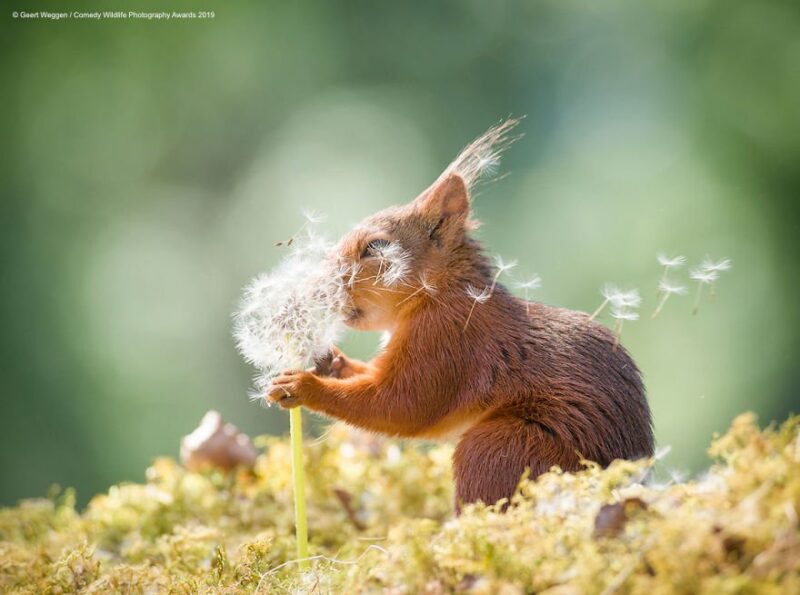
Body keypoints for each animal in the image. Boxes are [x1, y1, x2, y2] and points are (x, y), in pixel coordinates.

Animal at [267, 119, 654, 510]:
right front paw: (331, 362)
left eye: (375, 247)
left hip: (501, 447)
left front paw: (303, 386)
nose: (317, 288)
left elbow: (401, 405)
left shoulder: (448, 340)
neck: (439, 294)